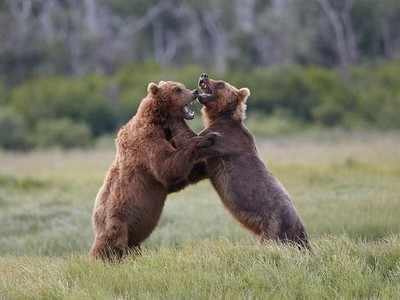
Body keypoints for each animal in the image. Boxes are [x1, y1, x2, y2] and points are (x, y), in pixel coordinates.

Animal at [90, 80, 220, 260]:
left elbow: (181, 176)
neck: (159, 122)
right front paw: (206, 138)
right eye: (177, 89)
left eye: (182, 86)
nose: (194, 91)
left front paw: (206, 166)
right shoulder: (147, 141)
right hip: (116, 219)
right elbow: (167, 168)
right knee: (112, 243)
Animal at [196, 74, 310, 250]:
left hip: (274, 223)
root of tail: (300, 226)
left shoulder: (225, 140)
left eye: (221, 83)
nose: (204, 75)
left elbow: (201, 141)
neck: (220, 116)